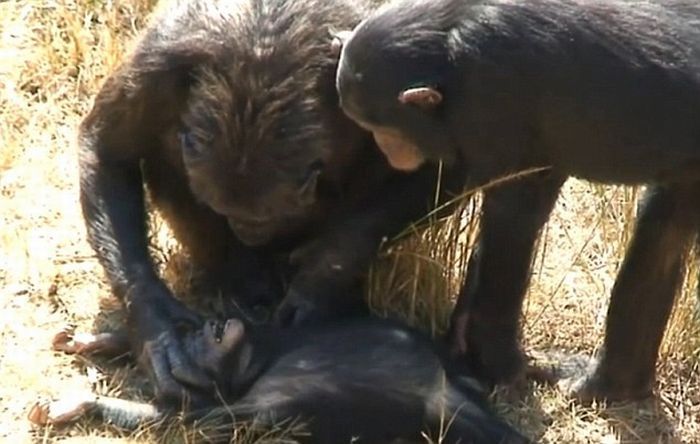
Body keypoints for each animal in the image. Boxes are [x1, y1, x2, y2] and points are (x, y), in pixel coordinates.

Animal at [79, 0, 456, 404]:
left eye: (267, 215)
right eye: (222, 209)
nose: (246, 229)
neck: (262, 62)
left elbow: (442, 169)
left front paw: (320, 278)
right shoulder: (156, 70)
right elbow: (109, 151)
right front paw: (160, 331)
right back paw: (244, 284)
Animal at [332, 0, 700, 402]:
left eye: (384, 129)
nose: (389, 150)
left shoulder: (492, 99)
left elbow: (512, 220)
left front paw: (497, 364)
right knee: (662, 234)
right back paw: (612, 383)